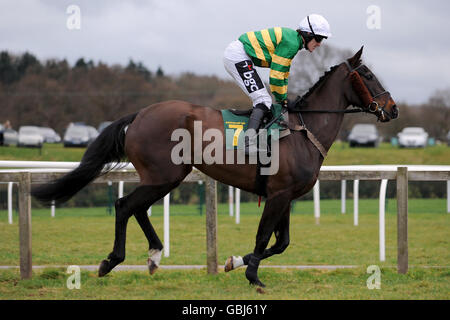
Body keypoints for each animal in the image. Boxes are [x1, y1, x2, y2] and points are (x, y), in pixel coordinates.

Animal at [31, 45, 398, 288]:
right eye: (367, 74)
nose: (392, 108)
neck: (303, 131)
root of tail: (140, 114)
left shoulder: (287, 195)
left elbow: (281, 243)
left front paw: (234, 262)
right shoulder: (278, 194)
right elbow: (264, 236)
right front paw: (252, 275)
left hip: (164, 177)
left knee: (137, 208)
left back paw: (154, 255)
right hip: (163, 175)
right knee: (124, 205)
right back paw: (111, 261)